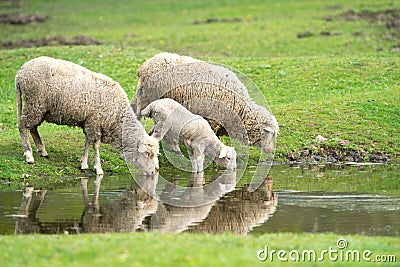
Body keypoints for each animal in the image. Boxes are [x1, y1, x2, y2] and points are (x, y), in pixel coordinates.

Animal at [15, 55, 159, 177]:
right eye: (147, 153)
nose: (153, 173)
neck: (118, 119)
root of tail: (20, 72)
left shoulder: (89, 122)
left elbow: (87, 142)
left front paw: (83, 163)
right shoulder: (95, 122)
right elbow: (95, 145)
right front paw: (98, 168)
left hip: (39, 108)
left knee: (32, 127)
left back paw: (42, 150)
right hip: (34, 102)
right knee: (23, 126)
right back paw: (29, 155)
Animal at [131, 51, 278, 155]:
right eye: (269, 134)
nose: (271, 151)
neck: (239, 107)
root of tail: (145, 66)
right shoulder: (212, 118)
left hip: (141, 93)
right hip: (147, 96)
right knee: (139, 112)